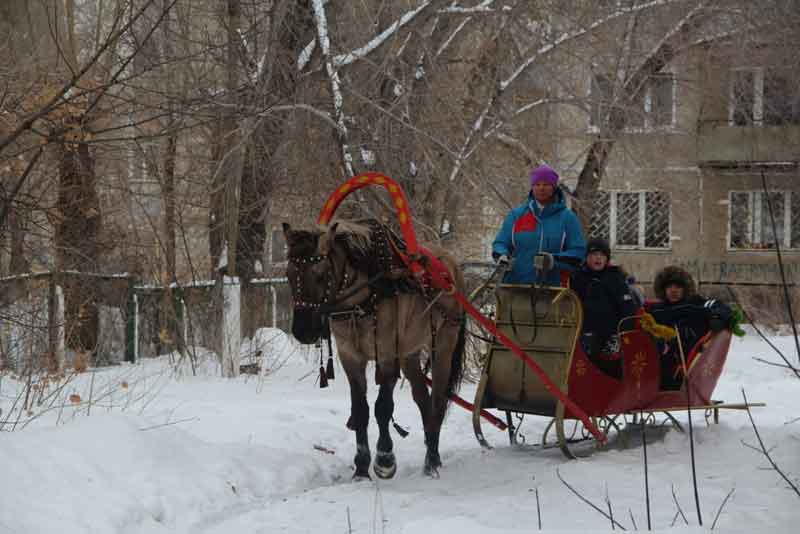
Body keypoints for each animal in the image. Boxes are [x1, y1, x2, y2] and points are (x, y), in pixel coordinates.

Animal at [282, 220, 466, 480]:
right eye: (289, 274)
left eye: (320, 275)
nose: (302, 331)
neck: (362, 298)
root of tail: (451, 266)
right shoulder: (350, 356)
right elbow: (360, 410)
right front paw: (361, 468)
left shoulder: (388, 353)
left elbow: (382, 408)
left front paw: (385, 459)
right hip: (409, 353)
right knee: (423, 399)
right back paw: (433, 455)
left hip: (443, 344)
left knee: (438, 401)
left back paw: (431, 461)